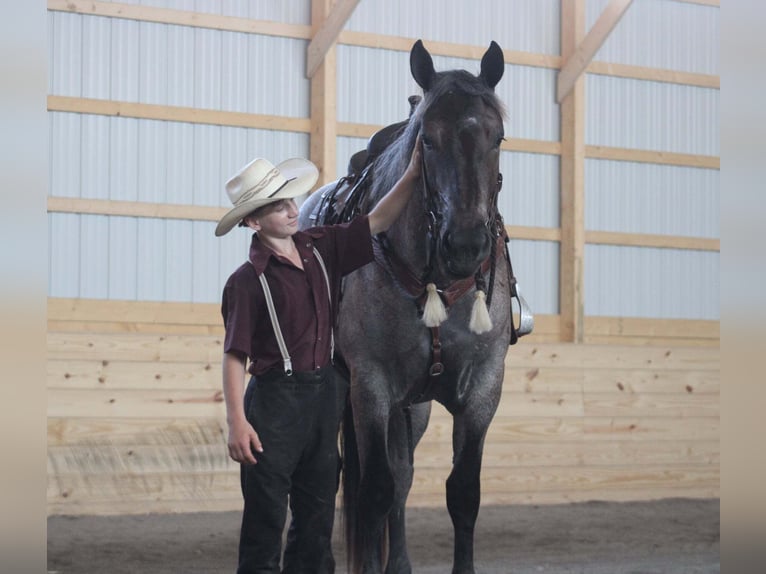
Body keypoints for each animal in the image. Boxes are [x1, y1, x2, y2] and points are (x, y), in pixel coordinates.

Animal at [300, 39, 536, 574]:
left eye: (497, 137)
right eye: (427, 139)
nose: (466, 243)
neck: (439, 284)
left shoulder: (484, 386)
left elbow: (462, 493)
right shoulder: (371, 385)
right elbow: (373, 492)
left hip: (415, 406)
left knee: (403, 476)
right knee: (343, 475)